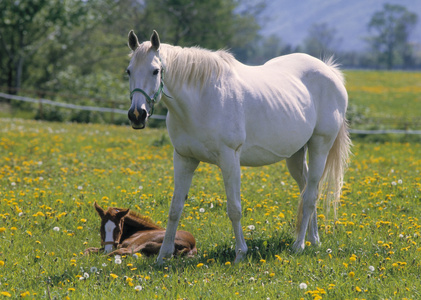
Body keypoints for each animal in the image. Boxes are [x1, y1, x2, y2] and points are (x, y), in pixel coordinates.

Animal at [125, 31, 352, 264]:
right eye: (129, 71)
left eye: (156, 70)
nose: (137, 115)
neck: (201, 100)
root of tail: (330, 71)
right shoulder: (183, 159)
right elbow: (175, 208)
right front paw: (163, 256)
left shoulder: (229, 159)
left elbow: (234, 209)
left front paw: (240, 253)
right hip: (296, 155)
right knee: (307, 189)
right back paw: (313, 240)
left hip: (320, 147)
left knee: (310, 196)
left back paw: (299, 245)